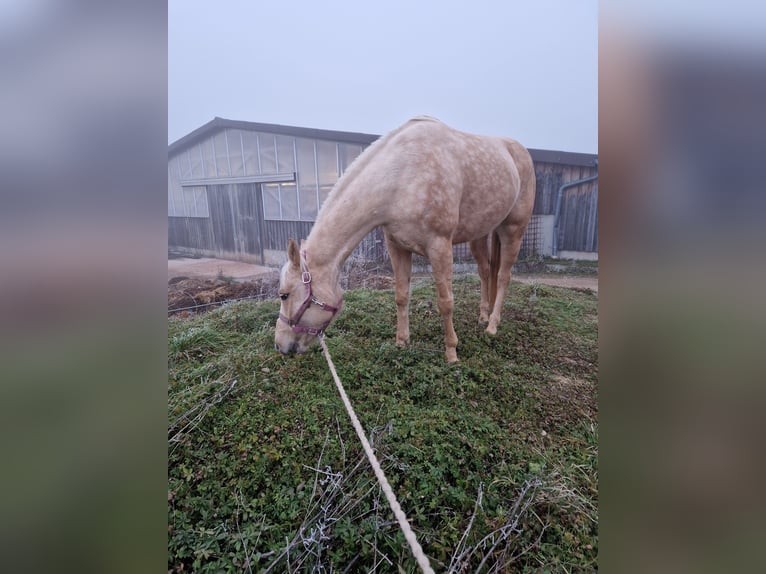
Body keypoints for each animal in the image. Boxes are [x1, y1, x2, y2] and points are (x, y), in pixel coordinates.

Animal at [274, 116, 536, 363]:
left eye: (284, 294)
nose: (280, 346)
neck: (402, 177)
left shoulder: (440, 246)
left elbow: (445, 301)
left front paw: (451, 352)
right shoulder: (397, 247)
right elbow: (401, 295)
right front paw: (401, 342)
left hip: (513, 230)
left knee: (503, 277)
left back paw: (492, 325)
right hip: (480, 234)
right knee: (485, 271)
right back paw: (483, 316)